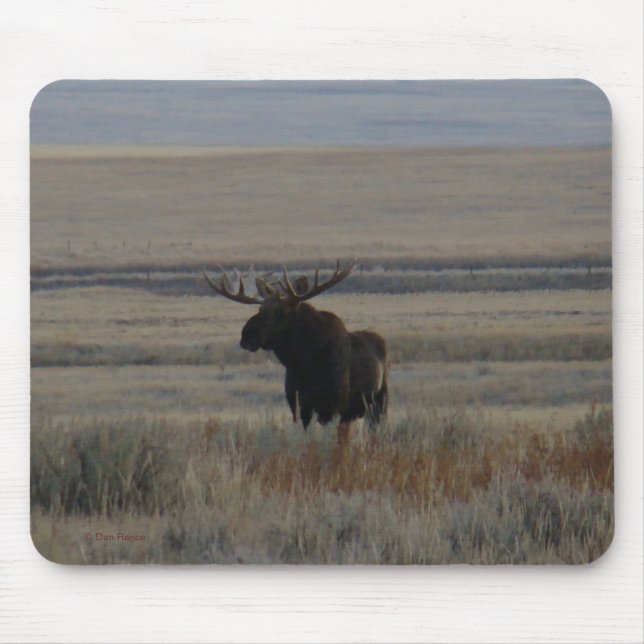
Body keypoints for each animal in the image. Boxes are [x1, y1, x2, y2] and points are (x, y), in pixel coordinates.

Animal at [203, 261, 388, 445]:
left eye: (279, 311)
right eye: (260, 308)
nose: (246, 337)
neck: (304, 367)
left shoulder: (334, 406)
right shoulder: (298, 407)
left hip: (378, 401)